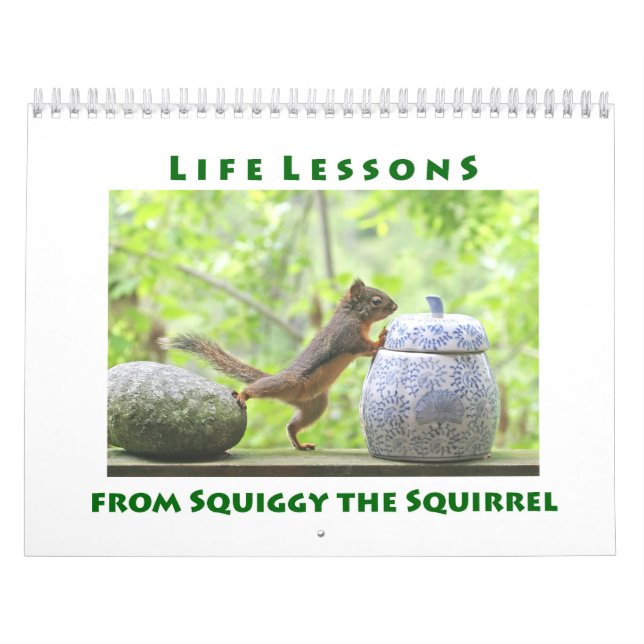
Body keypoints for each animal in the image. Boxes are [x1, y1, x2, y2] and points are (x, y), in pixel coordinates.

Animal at [162, 278, 397, 450]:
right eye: (376, 301)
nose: (395, 306)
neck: (353, 315)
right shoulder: (347, 336)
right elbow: (364, 346)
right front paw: (381, 338)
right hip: (285, 383)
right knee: (257, 388)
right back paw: (243, 395)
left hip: (315, 405)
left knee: (291, 426)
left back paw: (300, 444)